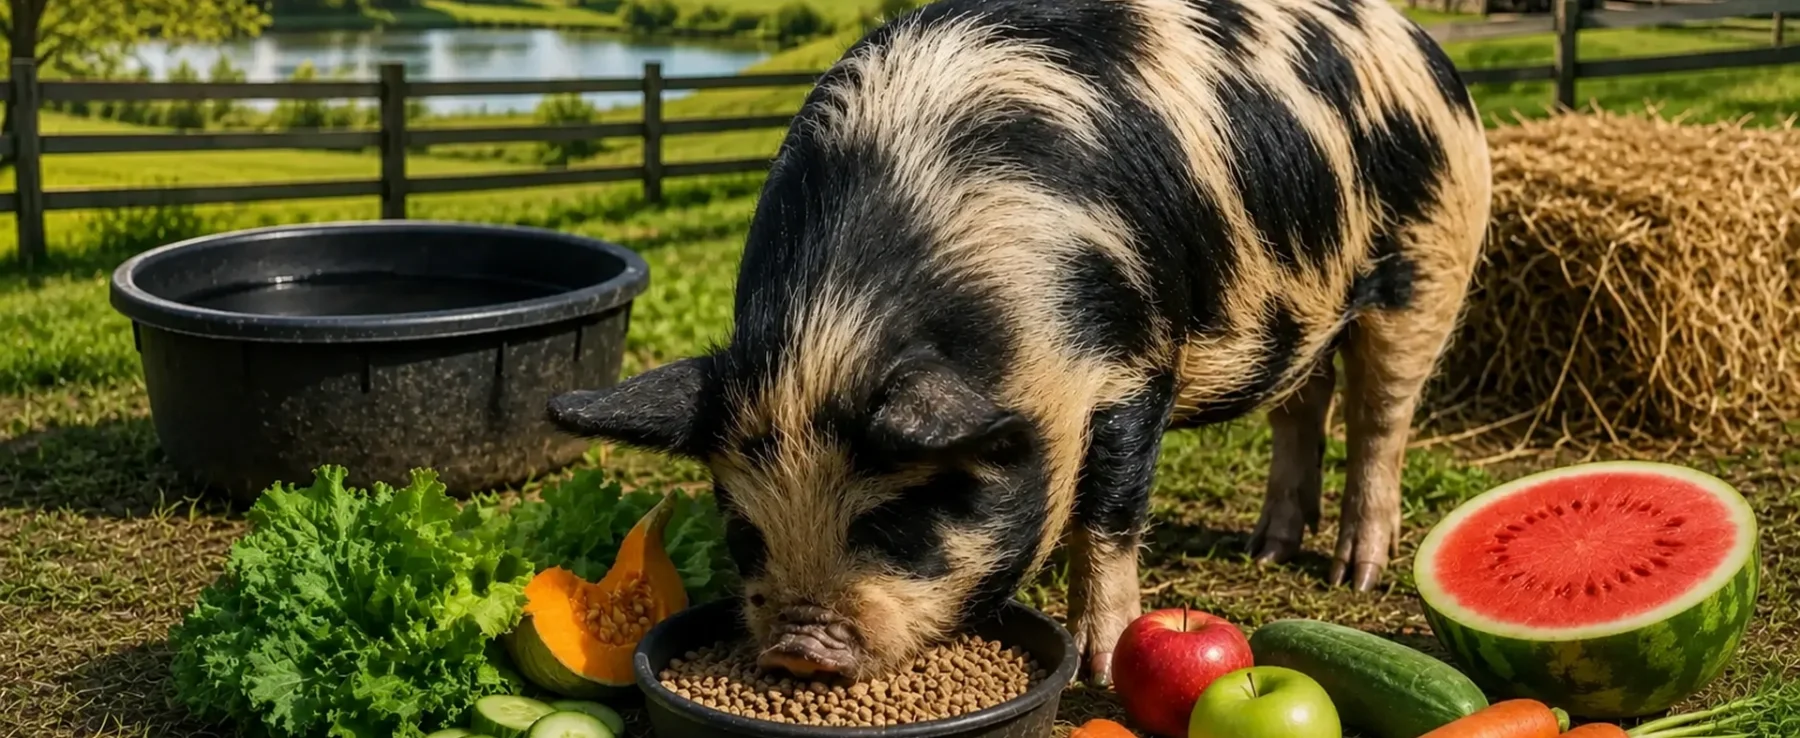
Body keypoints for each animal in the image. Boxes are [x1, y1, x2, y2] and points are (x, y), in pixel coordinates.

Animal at [547, 0, 1489, 687]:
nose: (797, 649)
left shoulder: (1133, 365)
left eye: (898, 521)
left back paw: (1352, 575)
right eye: (743, 529)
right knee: (1303, 404)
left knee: (1381, 417)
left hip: (1428, 265)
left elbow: (1107, 515)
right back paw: (1271, 549)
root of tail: (1421, 42)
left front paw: (1100, 670)